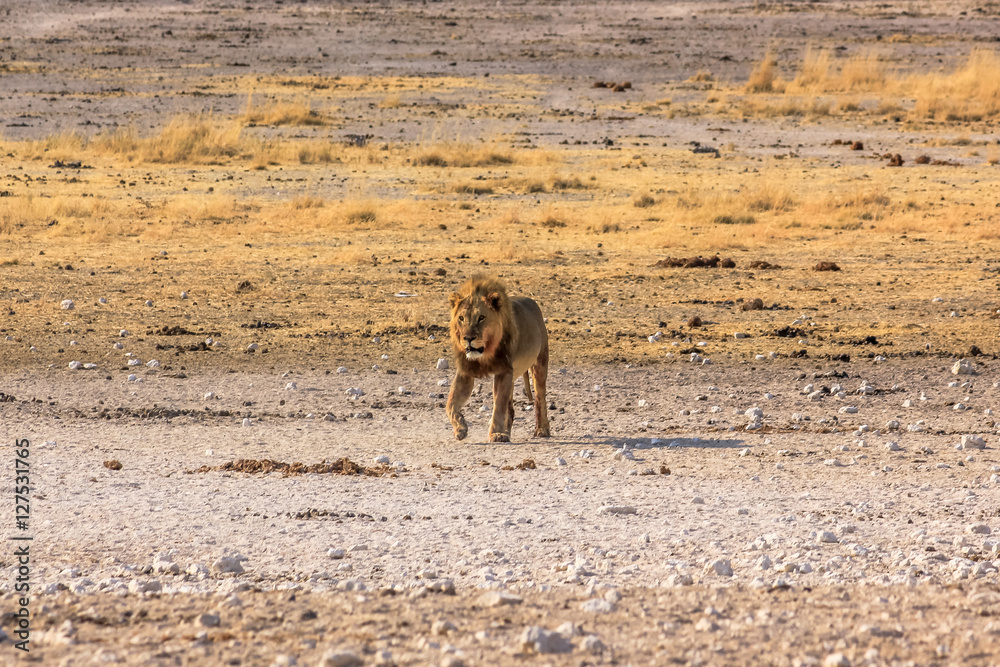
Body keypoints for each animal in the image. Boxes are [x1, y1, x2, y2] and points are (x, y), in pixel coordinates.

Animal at [446, 276, 550, 443]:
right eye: (461, 318)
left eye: (481, 318)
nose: (468, 338)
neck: (485, 352)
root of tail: (532, 301)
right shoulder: (465, 372)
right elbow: (450, 404)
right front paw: (460, 429)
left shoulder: (504, 371)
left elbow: (499, 405)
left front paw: (496, 434)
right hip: (513, 376)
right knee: (511, 409)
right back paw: (507, 432)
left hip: (539, 364)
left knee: (540, 398)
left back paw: (542, 430)